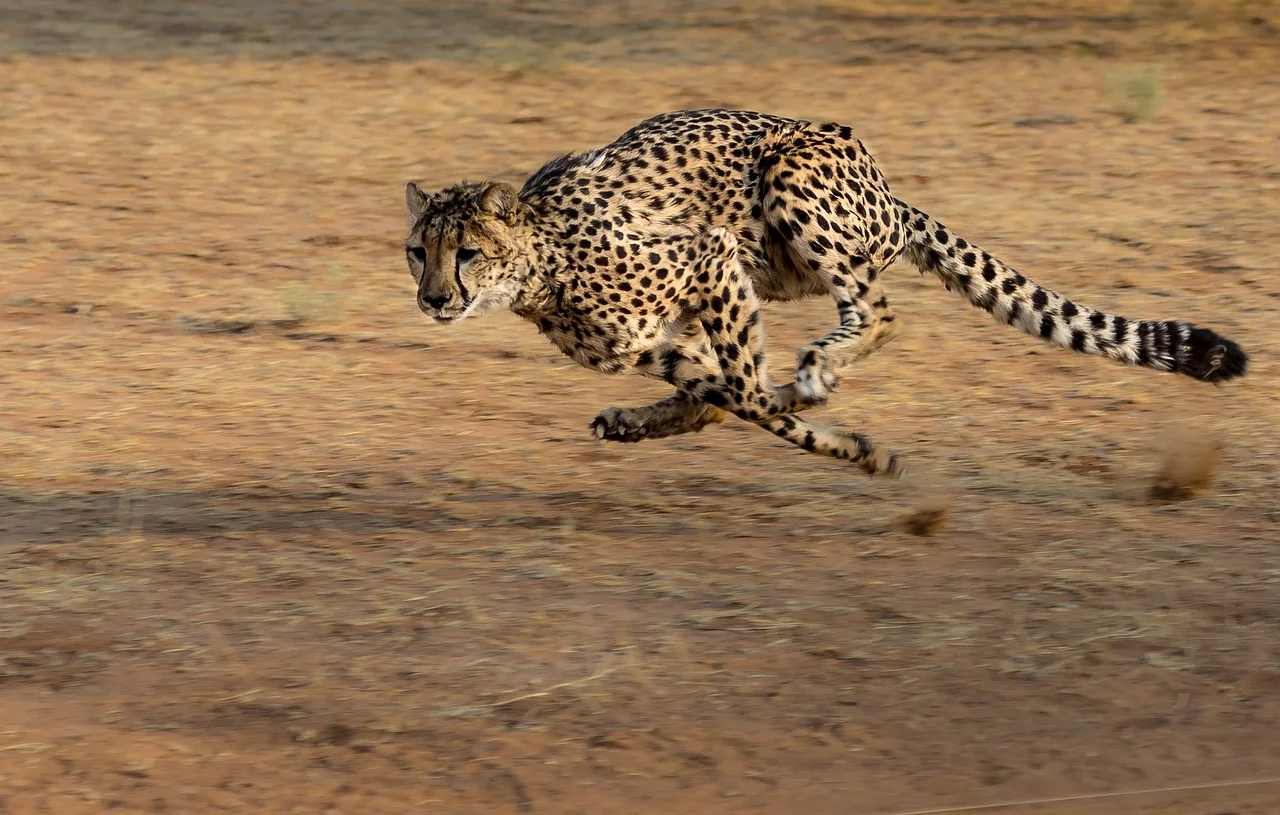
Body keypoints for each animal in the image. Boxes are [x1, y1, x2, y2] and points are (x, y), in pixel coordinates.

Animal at [403, 109, 1248, 478]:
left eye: (466, 252)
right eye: (418, 252)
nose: (434, 299)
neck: (539, 265)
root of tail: (888, 190)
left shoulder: (708, 255)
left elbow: (749, 393)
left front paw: (840, 431)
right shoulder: (656, 341)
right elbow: (729, 398)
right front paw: (849, 443)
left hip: (789, 182)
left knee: (877, 311)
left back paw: (817, 369)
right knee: (723, 394)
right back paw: (655, 418)